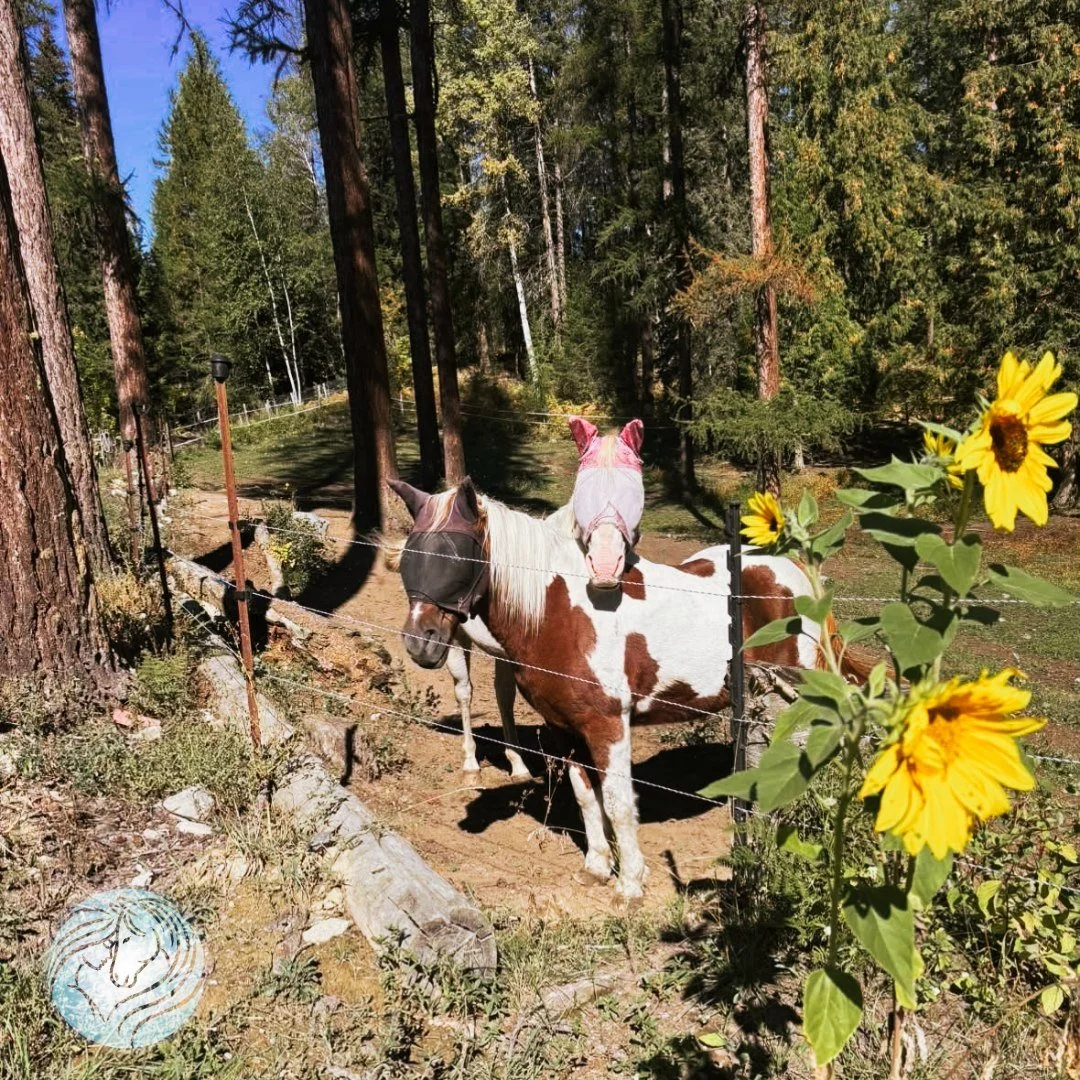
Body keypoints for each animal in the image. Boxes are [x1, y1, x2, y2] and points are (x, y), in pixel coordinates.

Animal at [390, 417, 649, 781]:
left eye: (635, 489)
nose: (606, 564)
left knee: (503, 696)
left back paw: (518, 763)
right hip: (454, 640)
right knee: (464, 691)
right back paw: (471, 763)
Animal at [390, 477, 867, 901]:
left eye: (458, 555)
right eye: (409, 556)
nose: (420, 642)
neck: (558, 614)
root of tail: (794, 573)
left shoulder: (608, 726)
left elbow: (619, 802)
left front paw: (630, 884)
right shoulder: (565, 728)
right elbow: (587, 798)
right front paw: (598, 868)